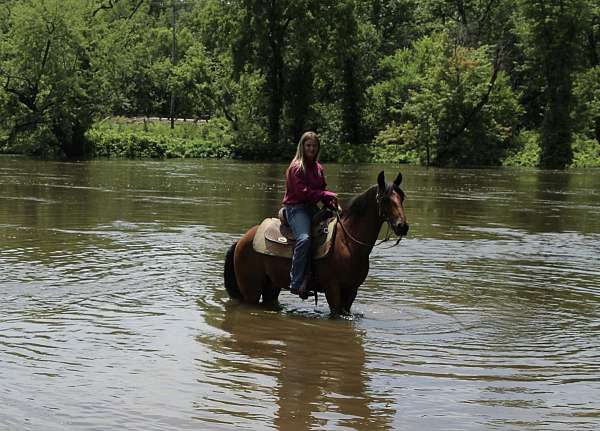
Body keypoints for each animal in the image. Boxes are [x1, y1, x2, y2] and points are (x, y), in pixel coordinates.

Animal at [223, 170, 410, 316]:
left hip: (271, 286)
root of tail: (242, 239)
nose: (403, 226)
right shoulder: (332, 288)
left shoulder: (352, 289)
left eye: (402, 197)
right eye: (385, 199)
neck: (348, 243)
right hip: (251, 290)